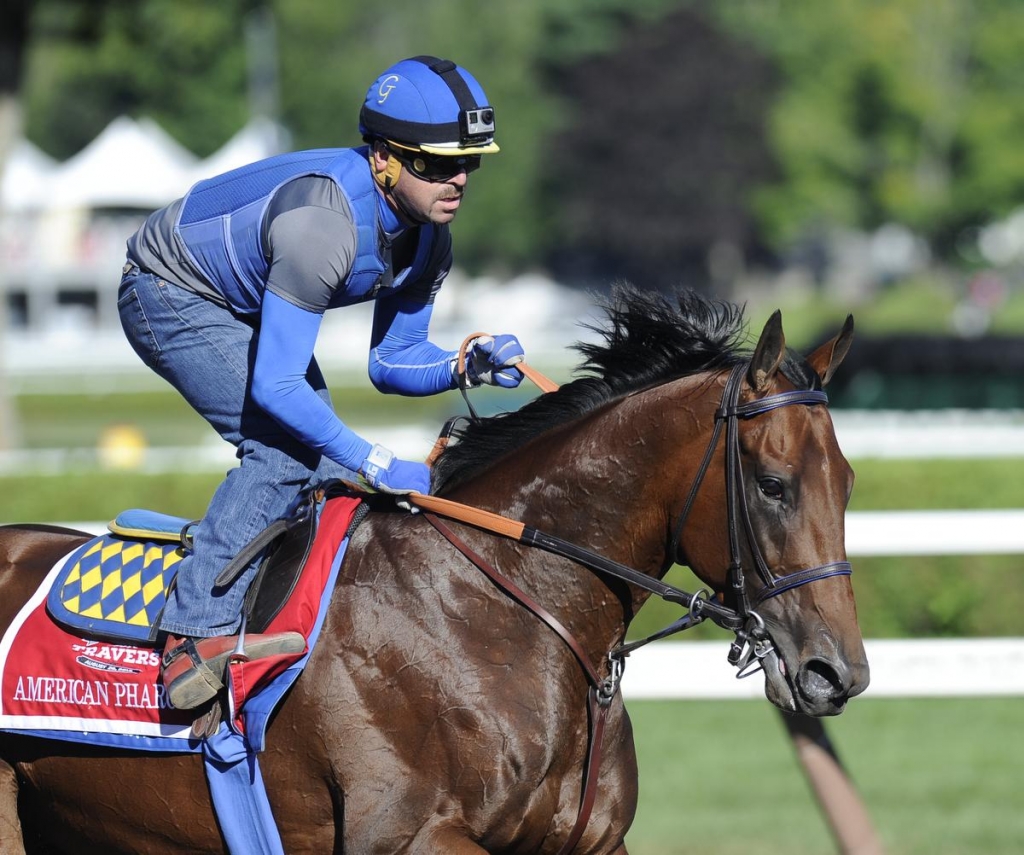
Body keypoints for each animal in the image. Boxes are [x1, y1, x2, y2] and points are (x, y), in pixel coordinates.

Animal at [0, 288, 864, 855]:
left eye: (849, 481)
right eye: (773, 484)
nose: (838, 672)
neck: (495, 614)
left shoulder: (590, 841)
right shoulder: (409, 836)